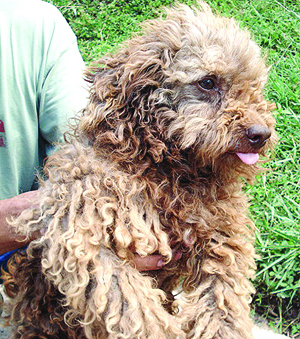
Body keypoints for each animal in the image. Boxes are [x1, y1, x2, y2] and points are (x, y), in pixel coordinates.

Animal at [4, 1, 276, 338]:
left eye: (254, 87)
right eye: (207, 82)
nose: (261, 134)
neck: (168, 174)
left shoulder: (221, 239)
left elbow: (223, 303)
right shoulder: (81, 231)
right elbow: (131, 306)